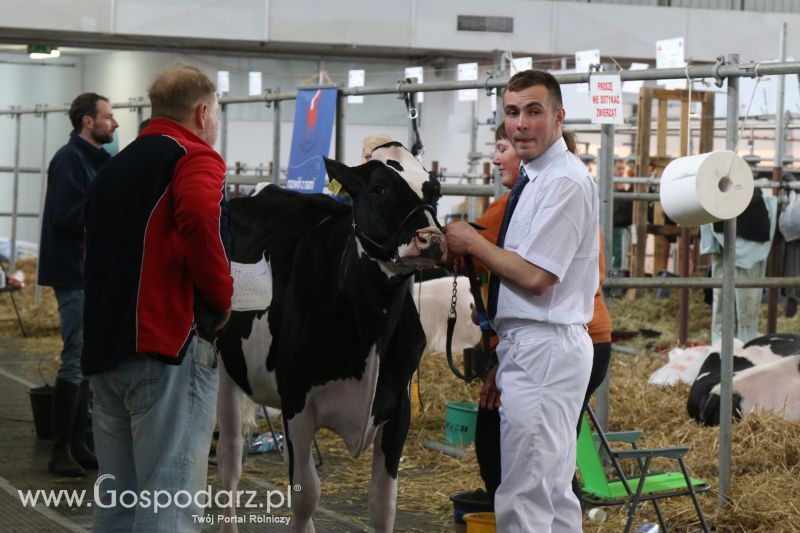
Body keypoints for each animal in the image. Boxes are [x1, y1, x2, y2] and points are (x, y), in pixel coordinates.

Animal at [216, 142, 446, 532]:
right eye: (378, 188)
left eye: (435, 191)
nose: (432, 240)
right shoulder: (297, 401)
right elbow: (306, 495)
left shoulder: (398, 405)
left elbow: (383, 504)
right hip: (221, 364)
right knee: (230, 459)